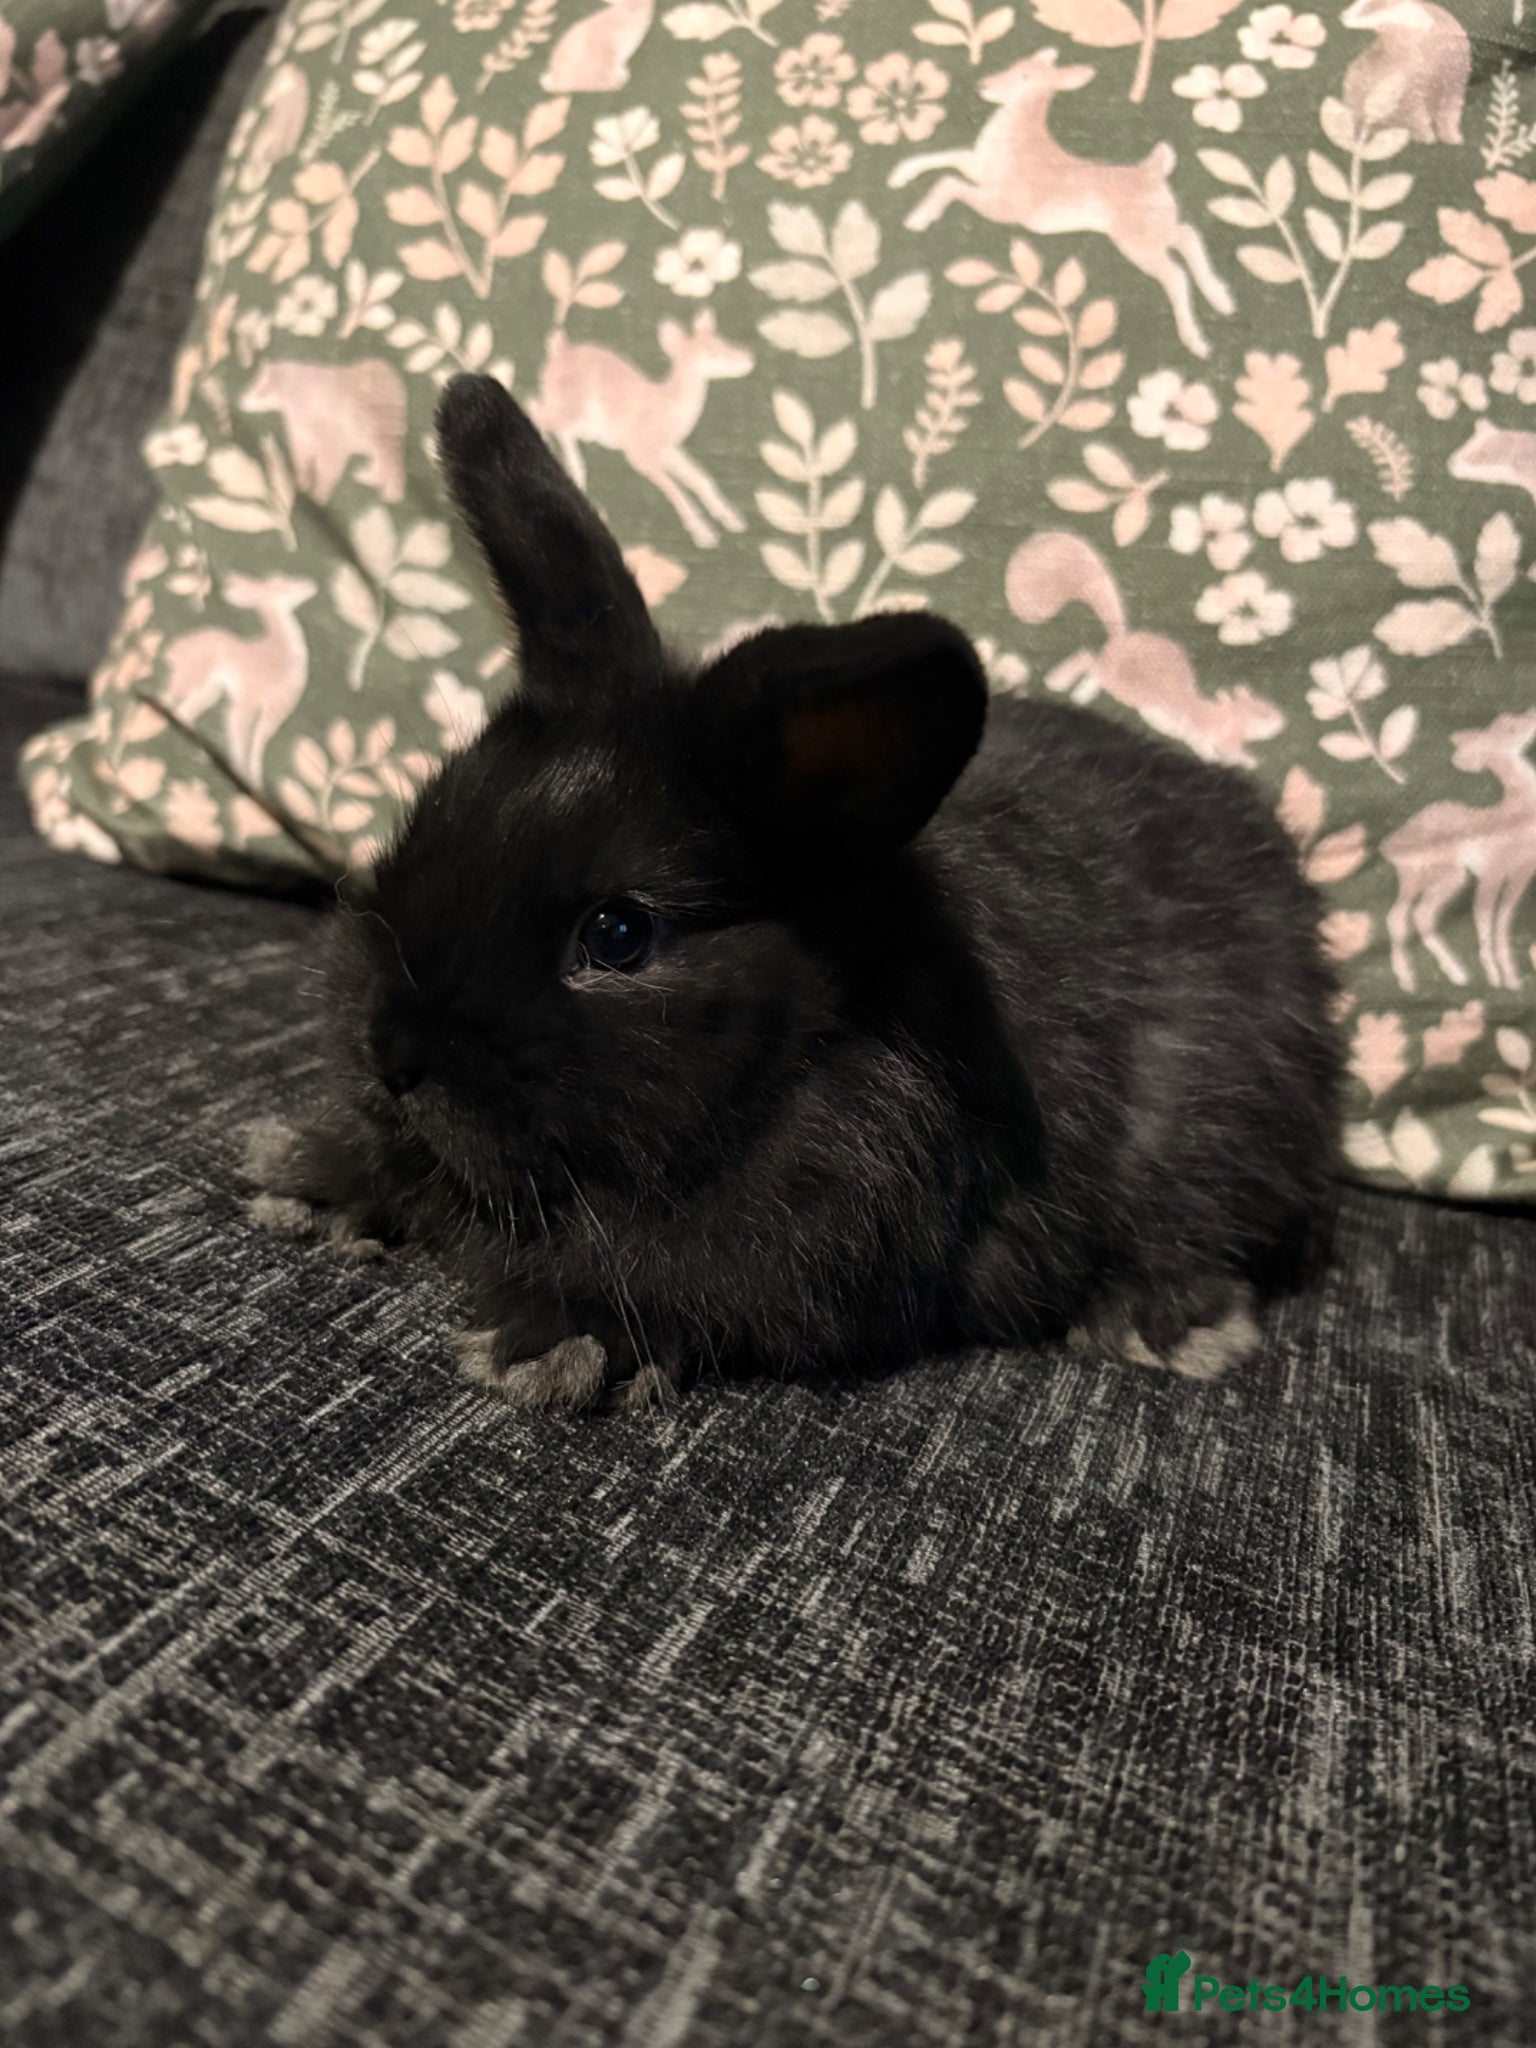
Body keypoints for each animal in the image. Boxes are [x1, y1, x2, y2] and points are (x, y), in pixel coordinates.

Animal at [242, 375, 1341, 1414]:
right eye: (430, 819)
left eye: (619, 933)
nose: (391, 1052)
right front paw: (311, 1173)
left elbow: (672, 1288)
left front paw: (552, 1342)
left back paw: (1157, 1320)